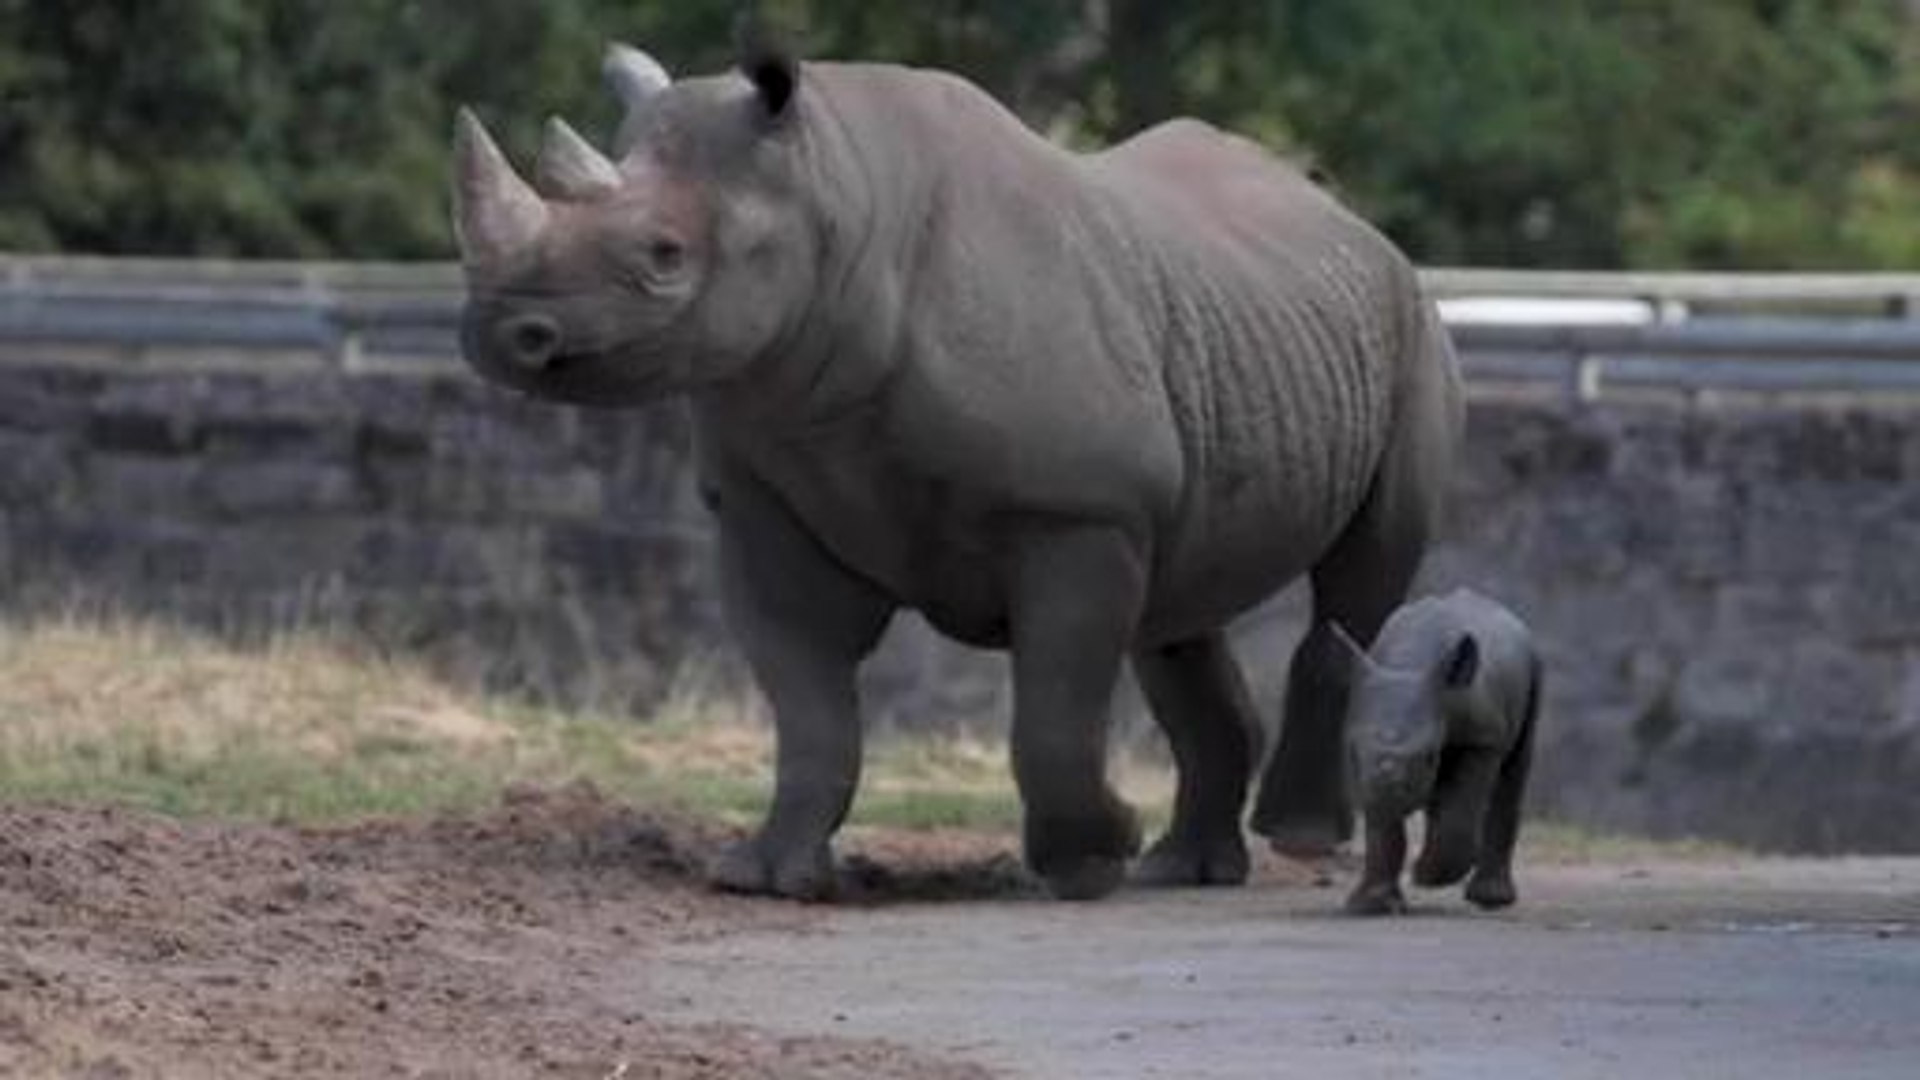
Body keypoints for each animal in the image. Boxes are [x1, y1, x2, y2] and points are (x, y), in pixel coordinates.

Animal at [449, 28, 1463, 901]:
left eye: (664, 256)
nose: (505, 333)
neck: (834, 195)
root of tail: (1350, 217)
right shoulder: (766, 496)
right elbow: (808, 703)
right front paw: (766, 876)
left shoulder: (1076, 511)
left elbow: (1052, 716)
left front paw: (1092, 856)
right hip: (1232, 331)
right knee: (1181, 609)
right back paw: (1184, 870)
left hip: (1409, 325)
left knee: (1357, 580)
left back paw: (1292, 839)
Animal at [1334, 588, 1542, 915]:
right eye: (1352, 752)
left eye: (1430, 756)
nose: (1388, 787)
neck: (1410, 664)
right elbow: (1383, 825)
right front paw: (1370, 906)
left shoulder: (1482, 737)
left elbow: (1460, 810)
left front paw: (1424, 876)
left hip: (1533, 666)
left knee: (1514, 770)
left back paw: (1490, 899)